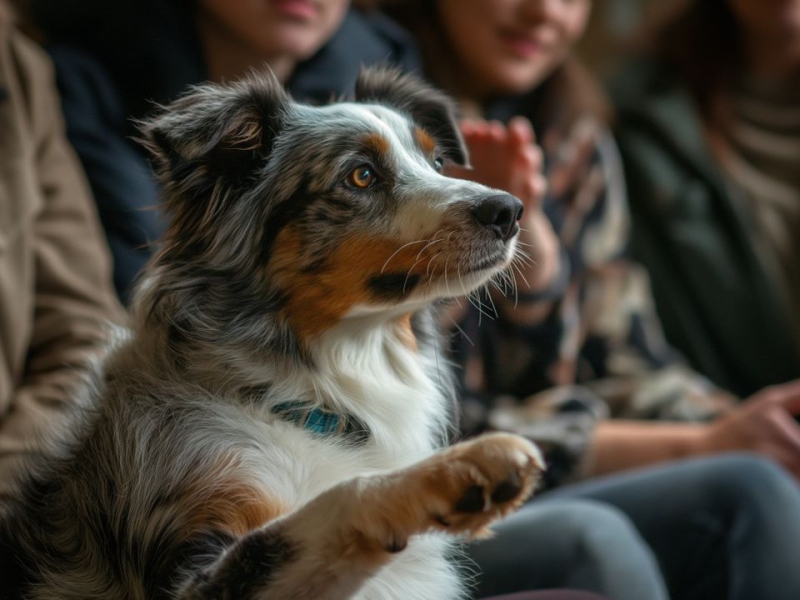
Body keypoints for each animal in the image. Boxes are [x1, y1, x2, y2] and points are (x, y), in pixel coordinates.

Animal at [0, 68, 544, 596]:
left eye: (436, 161)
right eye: (361, 176)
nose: (509, 210)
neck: (311, 396)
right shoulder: (194, 562)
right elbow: (336, 501)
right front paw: (461, 467)